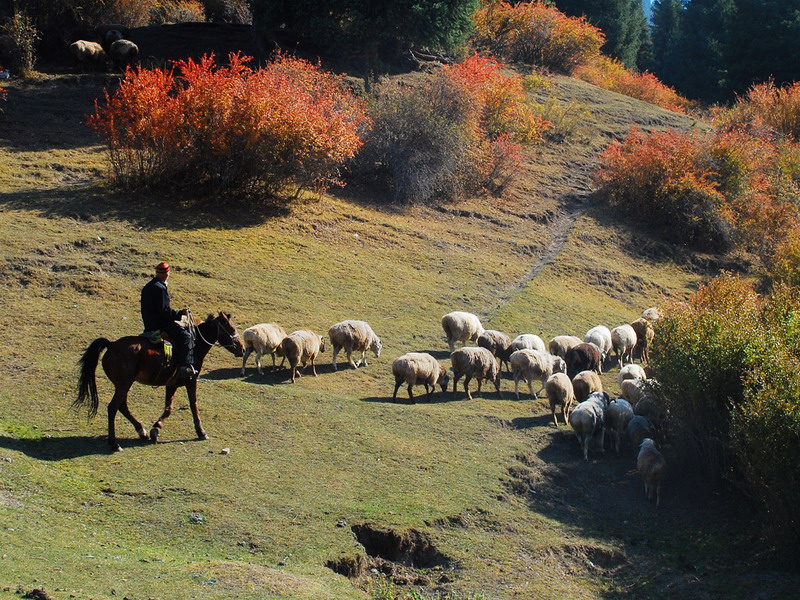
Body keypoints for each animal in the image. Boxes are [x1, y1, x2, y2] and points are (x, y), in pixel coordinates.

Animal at [75, 314, 245, 450]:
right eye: (231, 328)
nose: (242, 349)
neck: (195, 346)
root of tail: (111, 344)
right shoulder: (191, 380)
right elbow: (193, 405)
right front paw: (201, 432)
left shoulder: (172, 384)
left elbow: (168, 408)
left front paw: (155, 429)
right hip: (124, 385)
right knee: (113, 408)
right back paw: (114, 443)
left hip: (123, 385)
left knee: (122, 406)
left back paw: (141, 431)